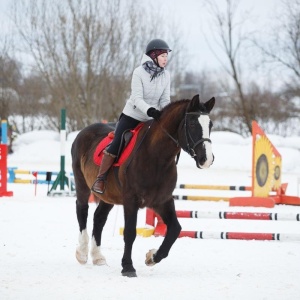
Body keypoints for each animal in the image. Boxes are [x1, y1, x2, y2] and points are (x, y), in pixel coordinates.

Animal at [71, 94, 214, 276]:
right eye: (193, 124)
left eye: (210, 124)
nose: (207, 159)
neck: (156, 157)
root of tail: (83, 132)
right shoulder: (131, 201)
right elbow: (130, 233)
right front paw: (127, 266)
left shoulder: (162, 201)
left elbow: (175, 229)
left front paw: (152, 257)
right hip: (82, 183)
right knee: (82, 210)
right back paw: (82, 253)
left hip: (108, 196)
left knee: (99, 218)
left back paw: (98, 257)